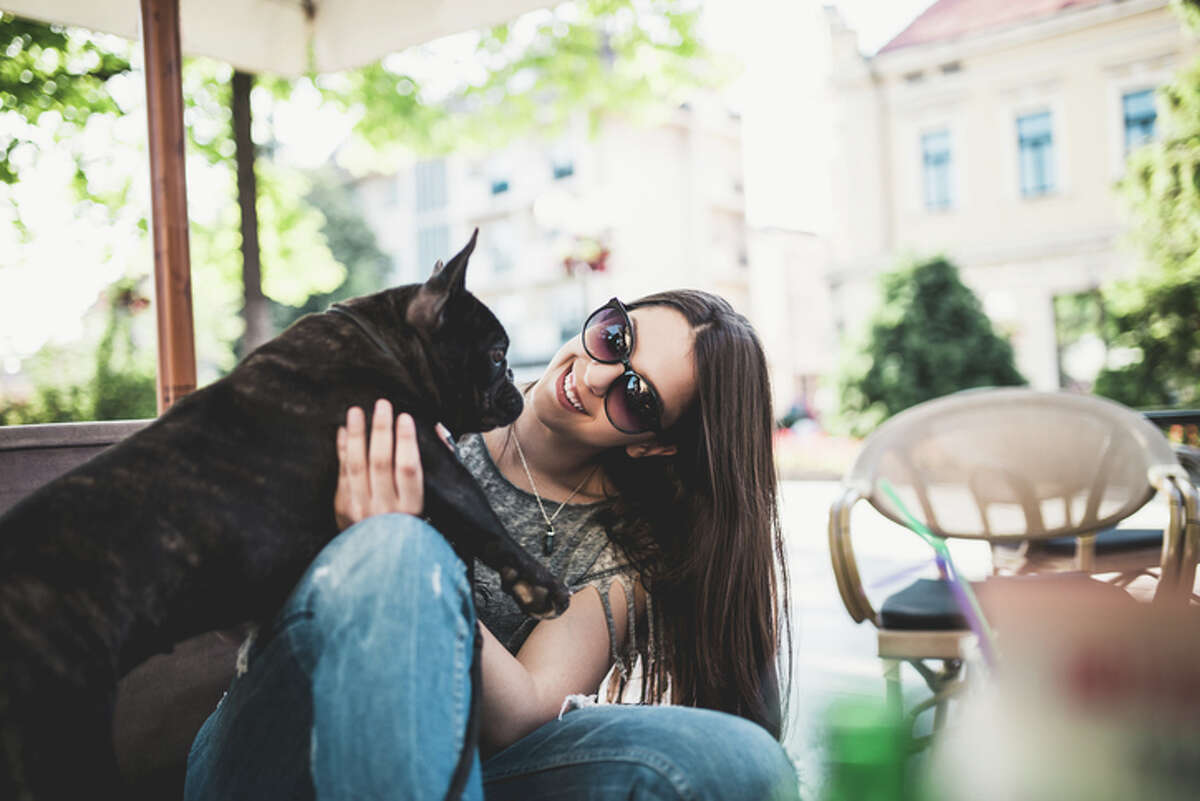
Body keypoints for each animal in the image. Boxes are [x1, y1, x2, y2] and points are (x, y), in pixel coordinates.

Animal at [0, 227, 568, 796]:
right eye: (496, 355)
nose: (516, 382)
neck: (382, 341)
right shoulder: (429, 458)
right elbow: (481, 515)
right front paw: (539, 584)